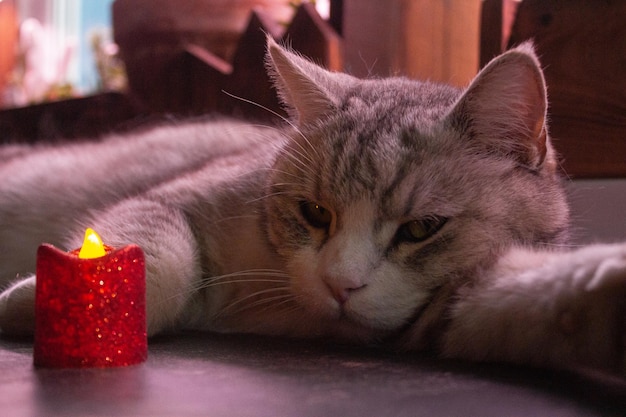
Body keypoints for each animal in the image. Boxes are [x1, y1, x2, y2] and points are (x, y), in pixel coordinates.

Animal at [1, 37, 624, 372]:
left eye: (422, 228)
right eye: (315, 213)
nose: (339, 285)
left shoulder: (460, 298)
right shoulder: (169, 200)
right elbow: (162, 262)